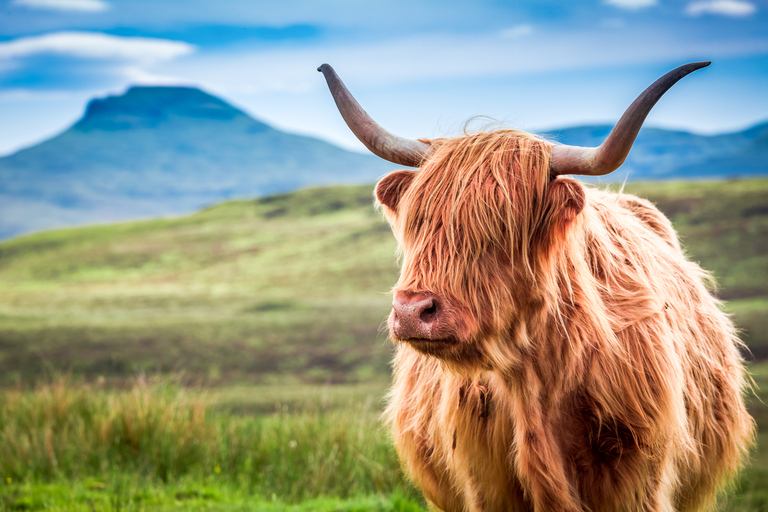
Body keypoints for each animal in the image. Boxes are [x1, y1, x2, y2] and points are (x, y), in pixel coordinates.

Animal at [318, 62, 756, 510]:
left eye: (501, 225)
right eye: (417, 222)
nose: (411, 312)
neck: (534, 381)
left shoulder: (639, 481)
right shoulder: (481, 484)